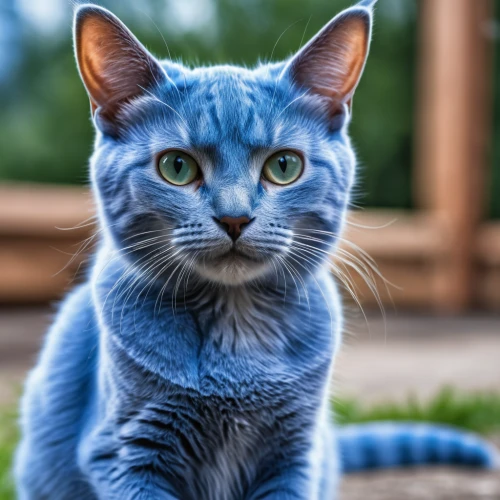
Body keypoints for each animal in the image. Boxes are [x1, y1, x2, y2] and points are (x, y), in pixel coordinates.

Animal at [13, 1, 498, 498]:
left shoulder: (295, 455)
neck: (235, 329)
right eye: (176, 166)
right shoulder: (126, 453)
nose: (234, 218)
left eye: (284, 166)